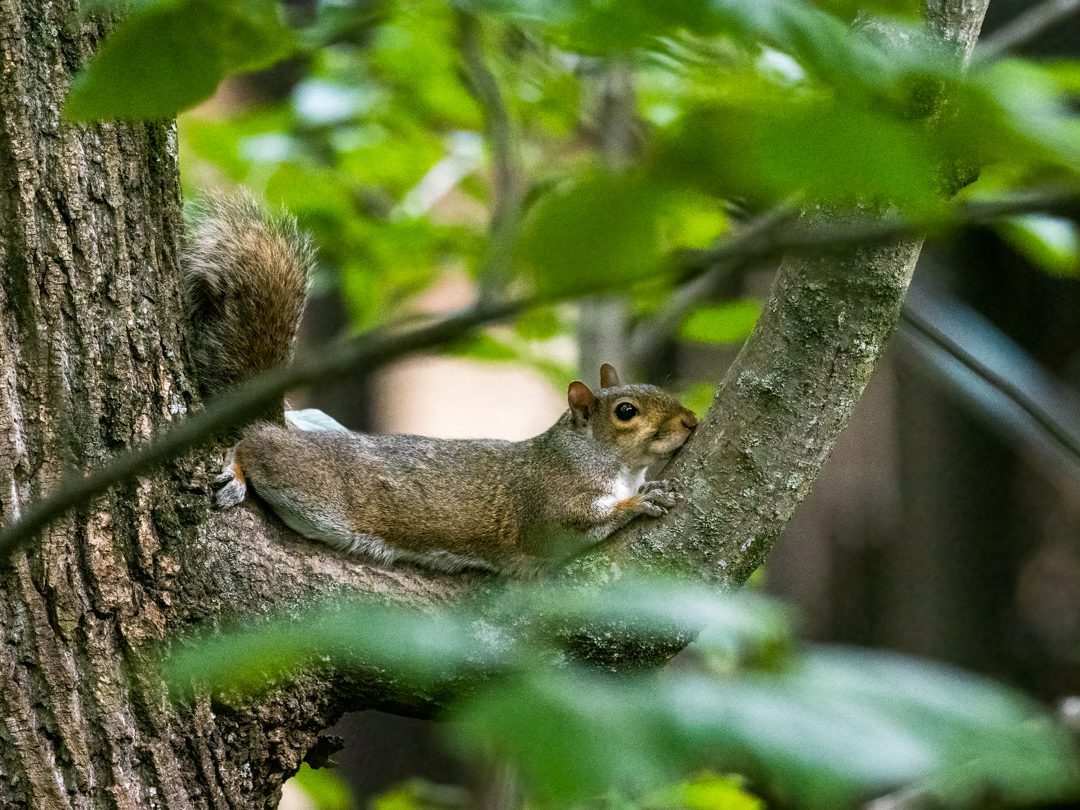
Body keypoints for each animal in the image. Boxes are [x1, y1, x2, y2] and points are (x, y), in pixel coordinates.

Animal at [185, 194, 698, 577]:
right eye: (626, 411)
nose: (691, 421)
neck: (598, 459)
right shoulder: (550, 503)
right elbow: (575, 523)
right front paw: (640, 502)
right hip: (312, 490)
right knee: (255, 445)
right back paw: (237, 471)